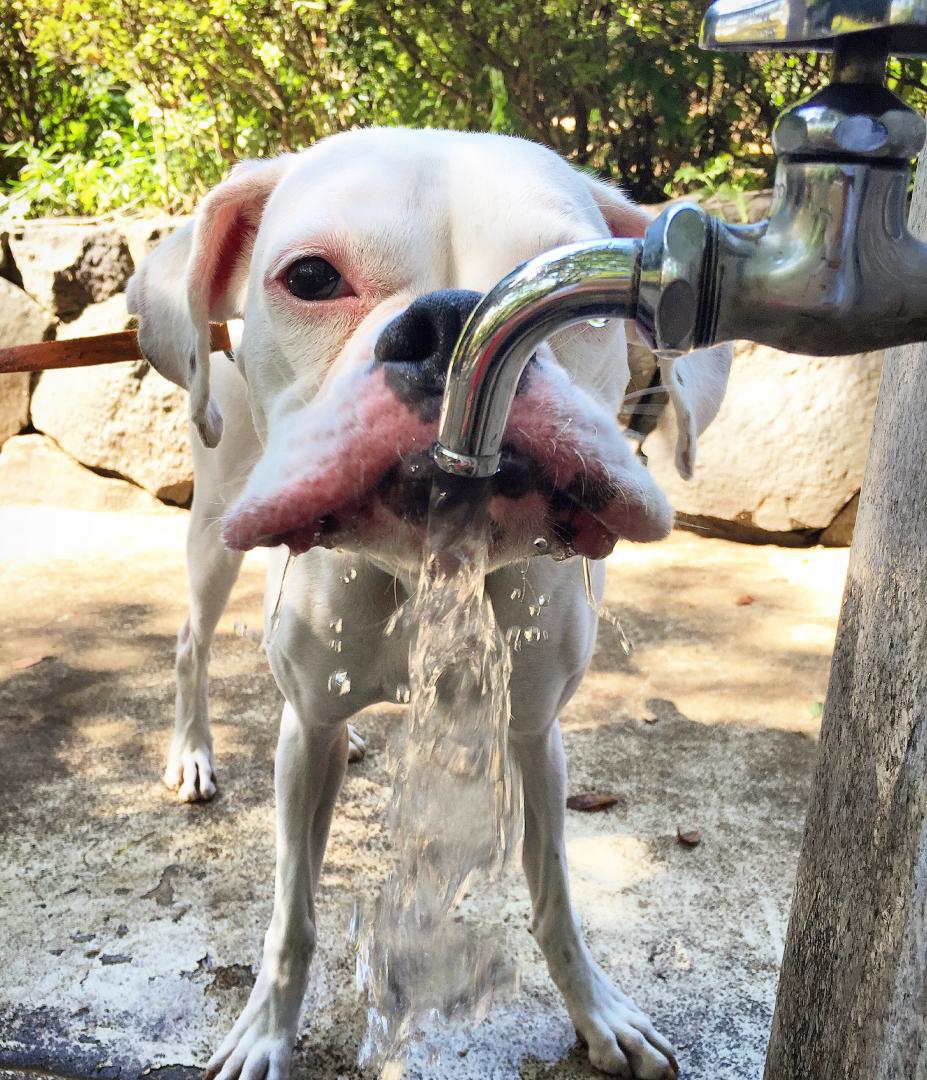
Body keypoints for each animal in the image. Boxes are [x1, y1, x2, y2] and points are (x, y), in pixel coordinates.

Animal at [126, 128, 730, 1080]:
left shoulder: (532, 734)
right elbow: (293, 915)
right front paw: (266, 1031)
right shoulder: (303, 747)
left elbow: (554, 893)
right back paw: (191, 753)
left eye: (582, 294)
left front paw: (596, 1010)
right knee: (193, 642)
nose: (455, 322)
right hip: (215, 528)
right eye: (310, 277)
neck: (426, 564)